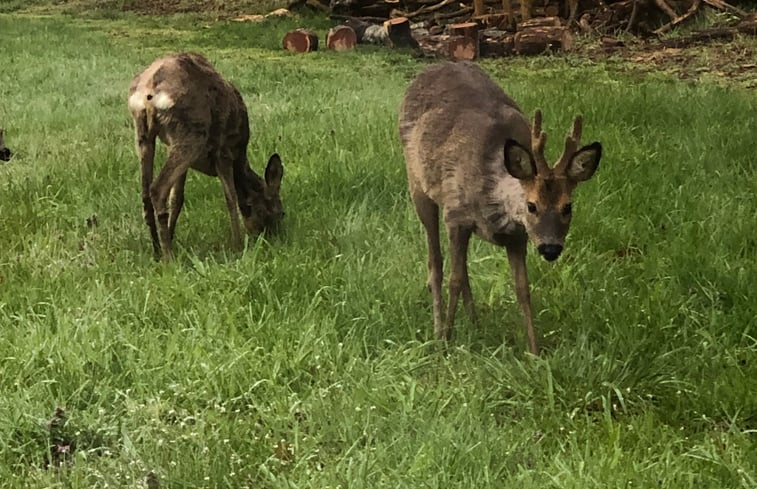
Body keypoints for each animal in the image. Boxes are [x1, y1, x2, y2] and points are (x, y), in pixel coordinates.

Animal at [127, 51, 284, 262]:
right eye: (281, 212)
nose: (274, 236)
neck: (240, 158)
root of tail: (149, 94)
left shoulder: (172, 149)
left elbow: (177, 198)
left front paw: (172, 234)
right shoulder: (224, 151)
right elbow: (231, 197)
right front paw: (237, 245)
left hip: (145, 134)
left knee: (145, 193)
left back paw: (157, 250)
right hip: (192, 134)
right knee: (157, 189)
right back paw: (168, 257)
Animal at [396, 62, 604, 354]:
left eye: (568, 207)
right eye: (531, 205)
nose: (551, 249)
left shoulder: (518, 237)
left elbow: (522, 289)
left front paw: (534, 351)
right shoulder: (455, 215)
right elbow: (454, 280)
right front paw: (447, 341)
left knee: (461, 269)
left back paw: (475, 323)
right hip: (417, 185)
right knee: (435, 264)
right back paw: (438, 332)